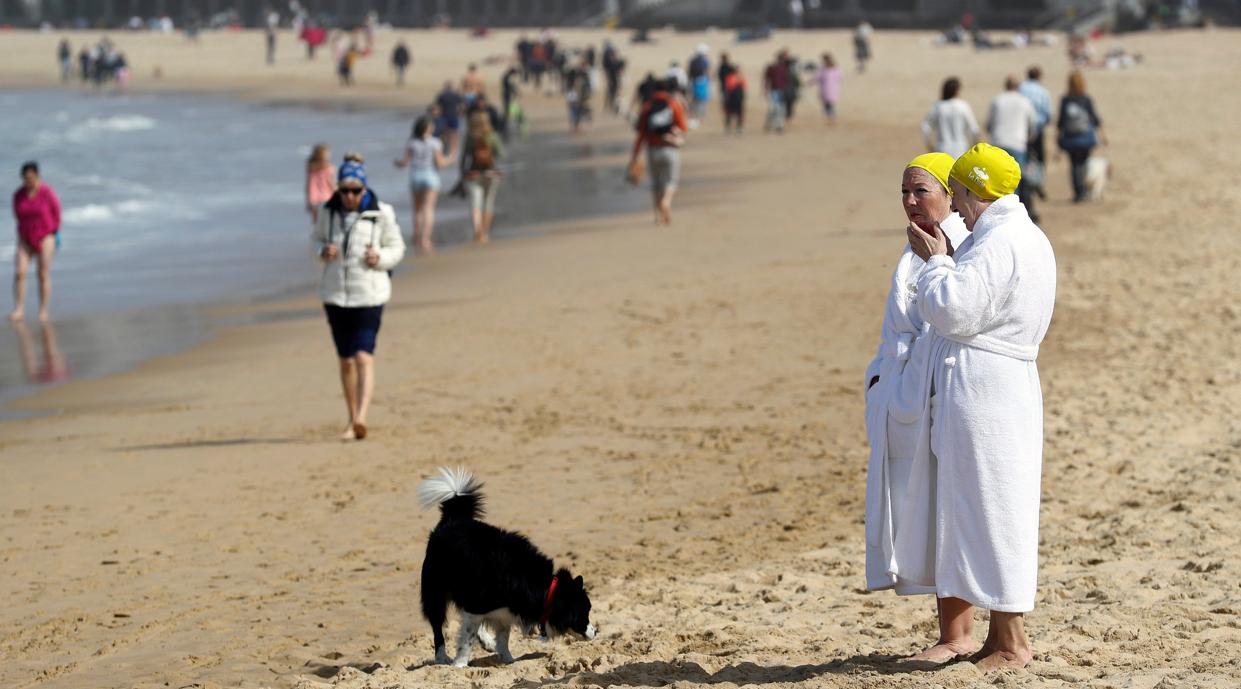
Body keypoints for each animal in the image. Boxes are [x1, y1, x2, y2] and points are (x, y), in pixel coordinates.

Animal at [416, 466, 595, 665]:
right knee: (437, 626)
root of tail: (451, 519)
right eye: (584, 612)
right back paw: (442, 657)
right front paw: (460, 664)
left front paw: (508, 660)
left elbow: (503, 637)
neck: (544, 589)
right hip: (435, 591)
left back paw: (485, 641)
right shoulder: (477, 603)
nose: (595, 632)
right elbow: (467, 639)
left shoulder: (503, 612)